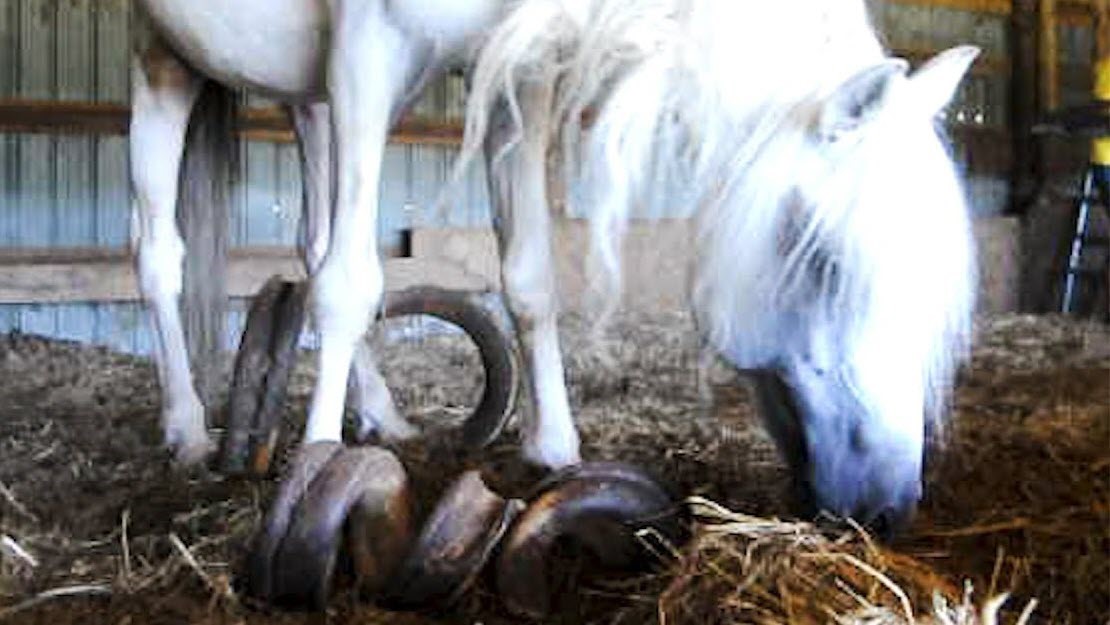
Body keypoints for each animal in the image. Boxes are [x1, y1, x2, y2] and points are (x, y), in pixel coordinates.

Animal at [132, 0, 981, 532]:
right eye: (826, 264)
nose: (889, 504)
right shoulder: (367, 53)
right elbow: (350, 283)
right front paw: (313, 467)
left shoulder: (518, 72)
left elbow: (529, 275)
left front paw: (555, 450)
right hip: (166, 60)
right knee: (159, 256)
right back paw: (187, 429)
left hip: (308, 96)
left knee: (312, 240)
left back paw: (381, 414)